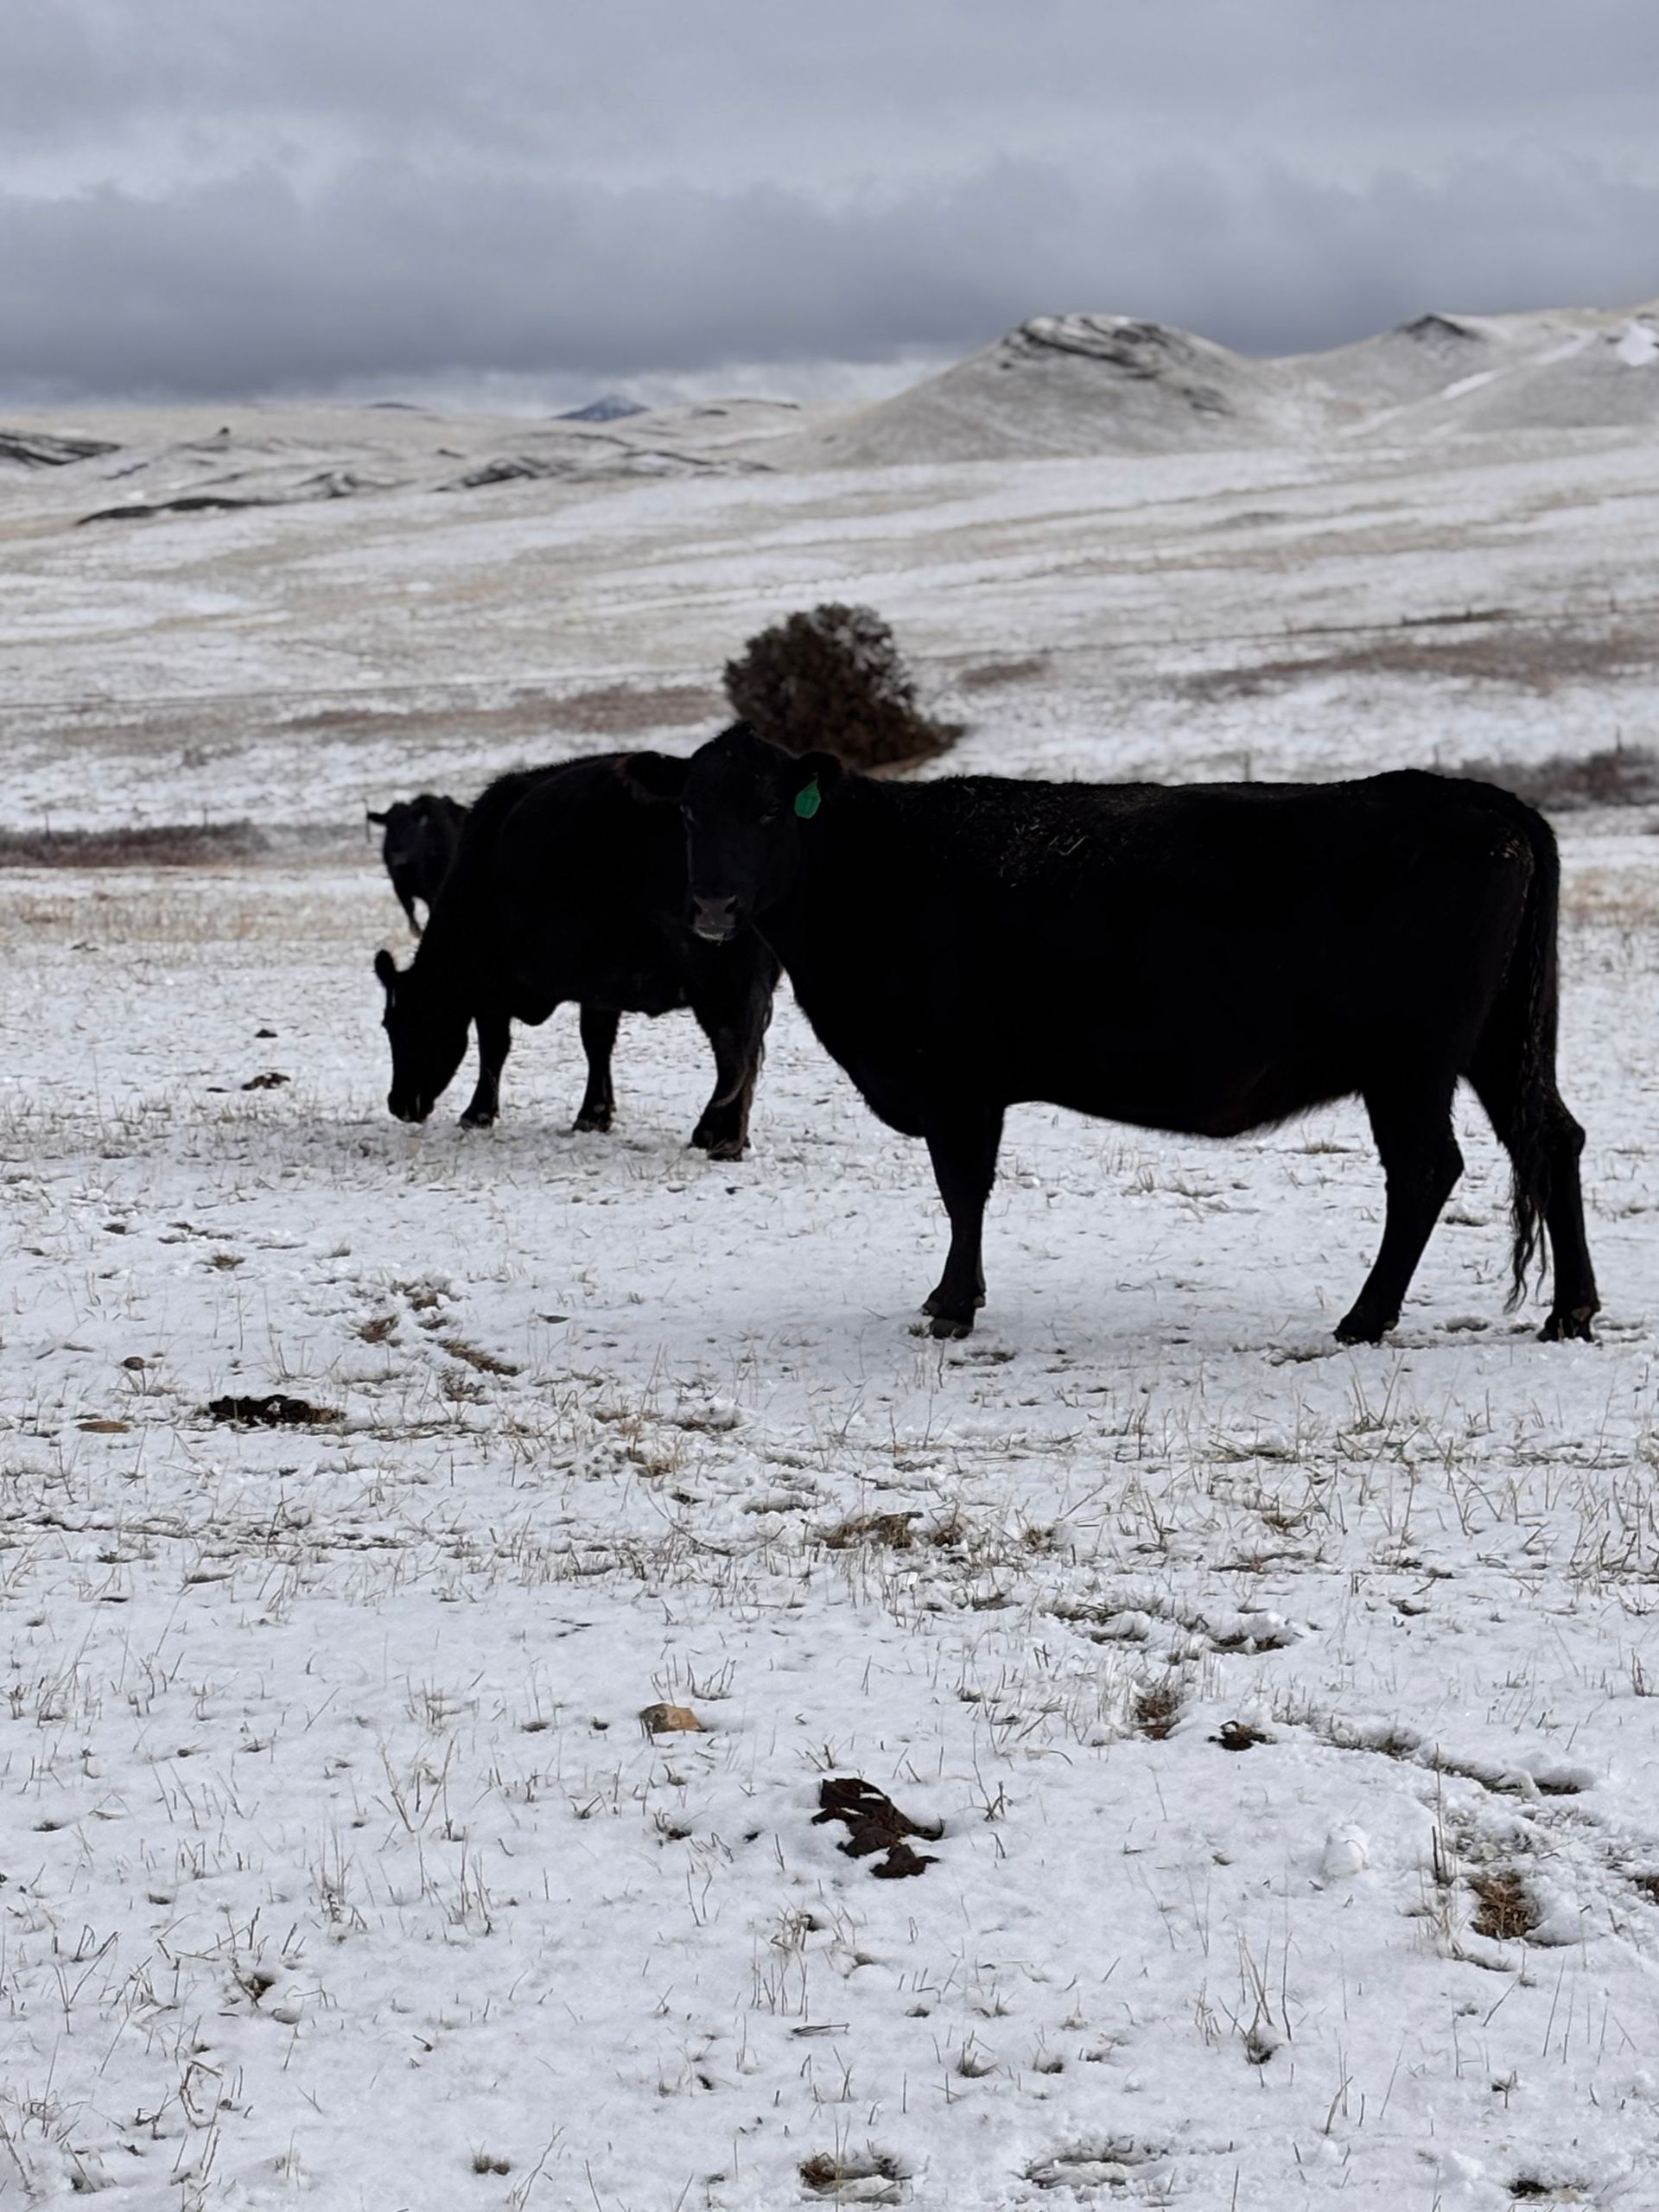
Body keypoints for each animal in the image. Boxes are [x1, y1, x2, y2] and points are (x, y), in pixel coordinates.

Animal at [367, 792, 469, 932]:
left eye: (410, 826)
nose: (398, 854)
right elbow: (409, 907)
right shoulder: (399, 887)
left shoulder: (433, 892)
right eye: (389, 828)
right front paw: (415, 930)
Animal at [630, 722, 1599, 1344]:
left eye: (768, 813)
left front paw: (952, 1305)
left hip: (1411, 1063)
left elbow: (962, 1191)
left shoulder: (958, 1083)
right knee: (1552, 1138)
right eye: (687, 814)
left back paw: (1364, 1319)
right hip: (1500, 1044)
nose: (712, 908)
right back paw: (1571, 1312)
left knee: (1428, 1170)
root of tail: (1487, 804)